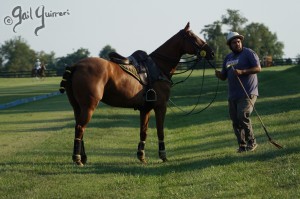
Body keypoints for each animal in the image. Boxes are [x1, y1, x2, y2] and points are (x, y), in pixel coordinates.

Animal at [59, 21, 213, 166]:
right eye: (192, 36)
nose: (210, 51)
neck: (159, 67)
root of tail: (76, 65)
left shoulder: (145, 109)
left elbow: (143, 131)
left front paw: (141, 156)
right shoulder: (161, 106)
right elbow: (160, 130)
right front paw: (163, 156)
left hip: (77, 107)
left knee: (80, 128)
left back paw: (83, 157)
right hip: (89, 106)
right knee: (80, 128)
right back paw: (77, 158)